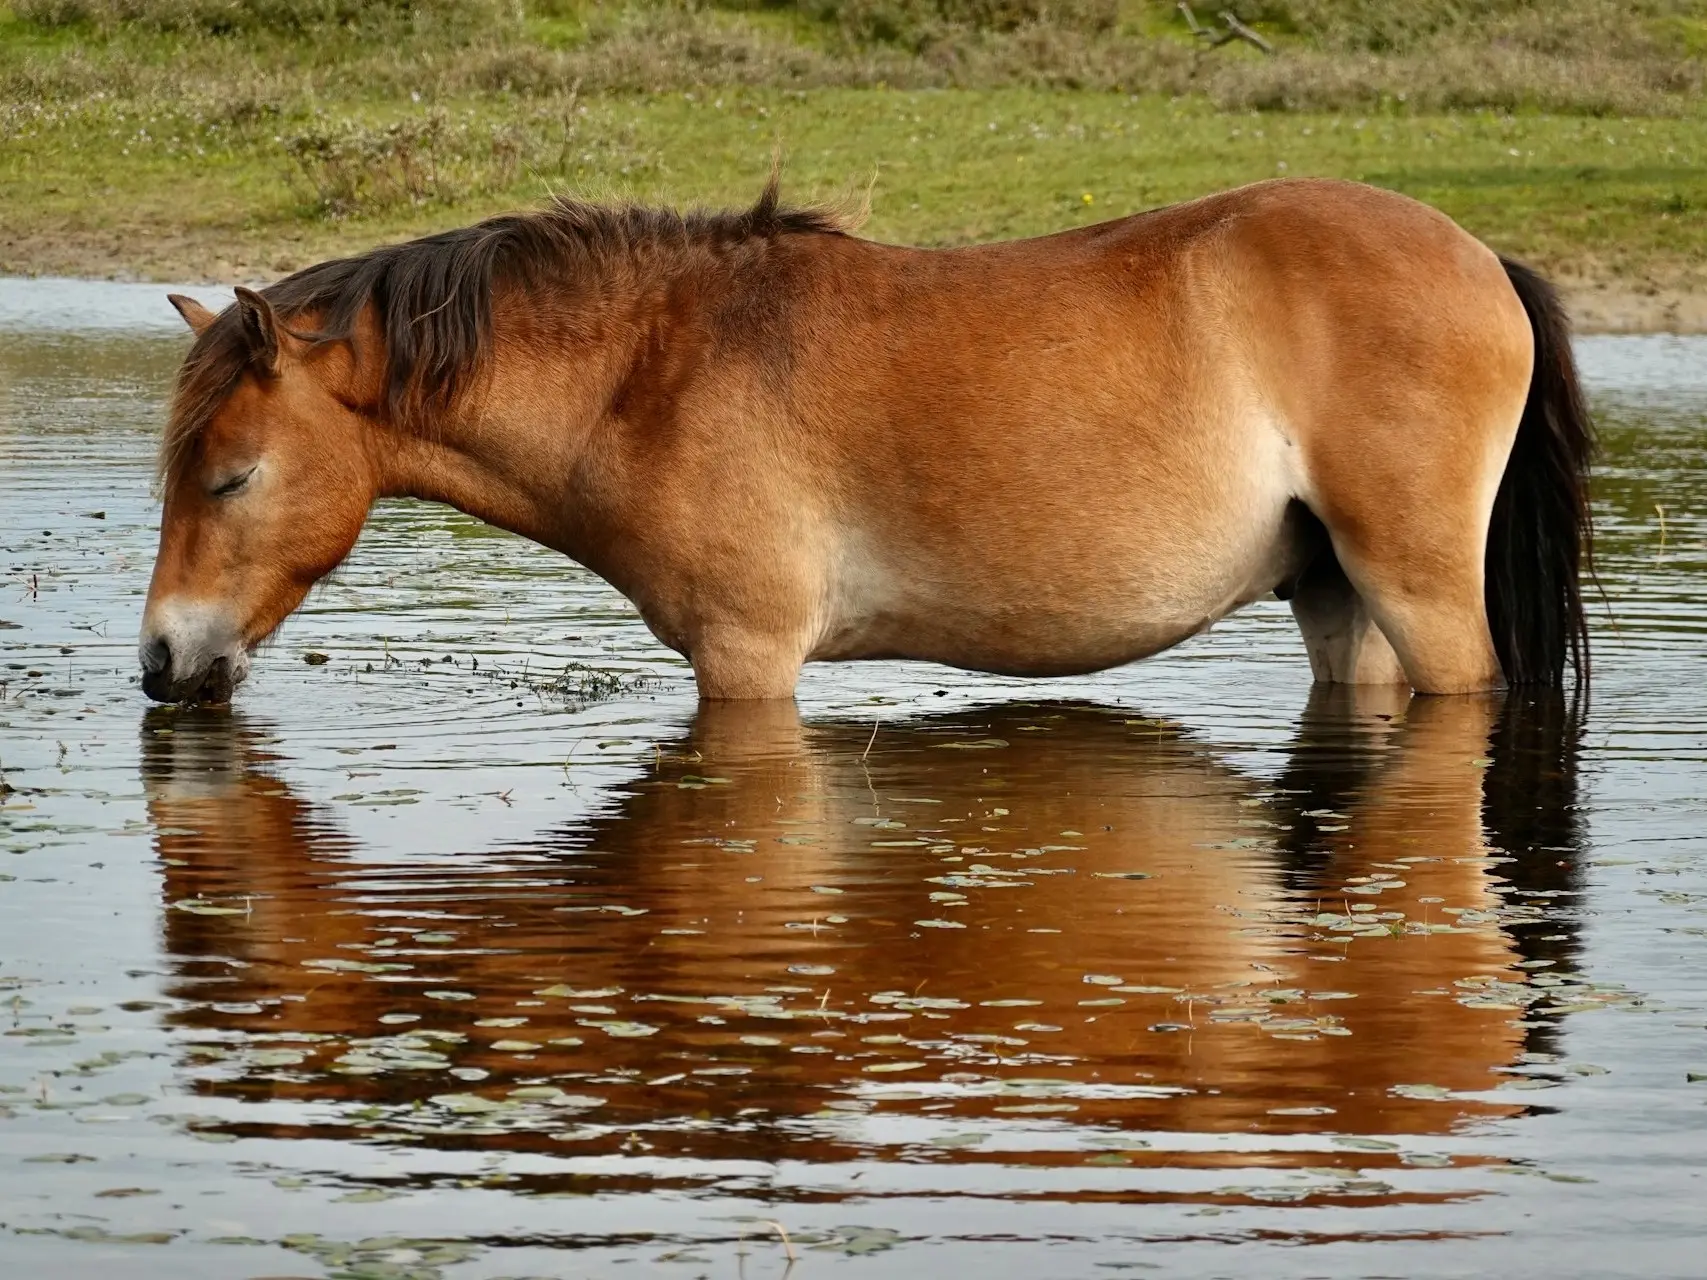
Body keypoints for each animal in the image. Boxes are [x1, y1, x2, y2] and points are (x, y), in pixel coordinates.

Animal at [139, 175, 1590, 706]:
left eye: (231, 475)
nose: (159, 661)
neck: (654, 370)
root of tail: (1477, 257)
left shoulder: (746, 660)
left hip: (1416, 591)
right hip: (1336, 600)